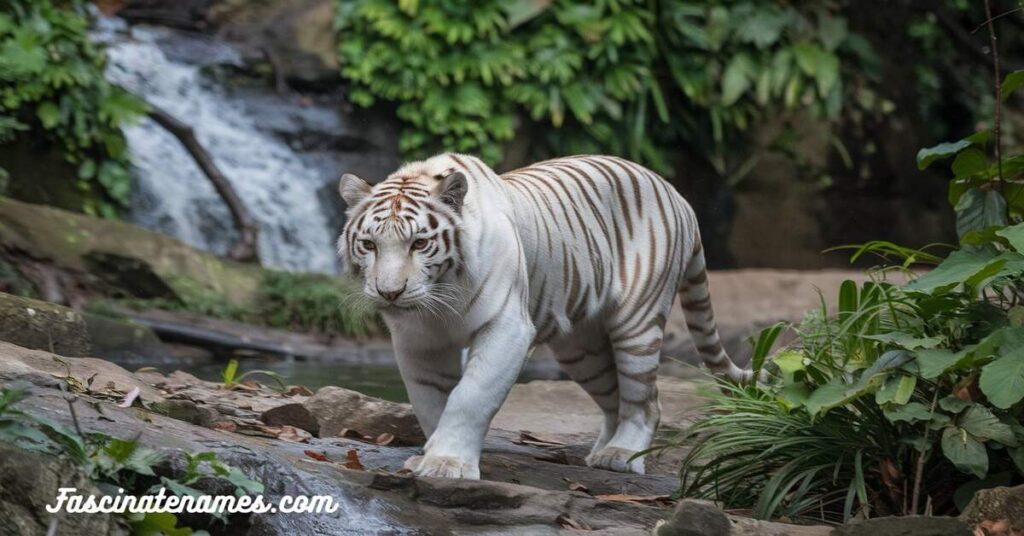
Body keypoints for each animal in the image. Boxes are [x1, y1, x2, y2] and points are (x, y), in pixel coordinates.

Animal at [337, 152, 753, 479]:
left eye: (419, 243)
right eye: (369, 245)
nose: (390, 292)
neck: (438, 305)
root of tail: (676, 194)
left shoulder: (507, 328)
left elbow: (470, 396)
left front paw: (447, 463)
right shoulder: (418, 342)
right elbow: (431, 403)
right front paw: (432, 453)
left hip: (637, 323)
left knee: (646, 400)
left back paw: (621, 455)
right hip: (582, 350)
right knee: (614, 396)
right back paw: (600, 452)